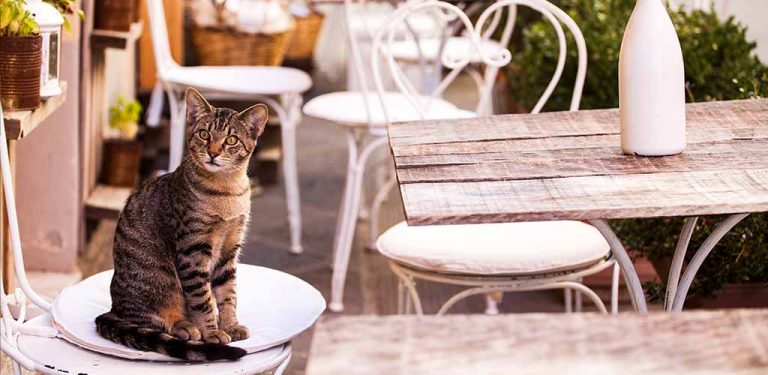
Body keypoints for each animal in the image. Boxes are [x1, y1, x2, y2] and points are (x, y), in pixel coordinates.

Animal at [95, 88, 268, 362]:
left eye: (231, 140)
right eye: (204, 134)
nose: (213, 152)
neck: (227, 192)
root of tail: (113, 309)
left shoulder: (230, 249)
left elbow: (228, 294)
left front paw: (230, 325)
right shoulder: (193, 250)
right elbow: (202, 297)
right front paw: (213, 332)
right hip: (158, 280)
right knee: (150, 320)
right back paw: (185, 326)